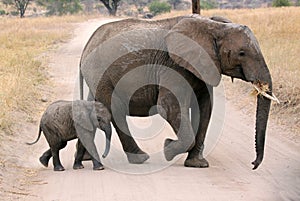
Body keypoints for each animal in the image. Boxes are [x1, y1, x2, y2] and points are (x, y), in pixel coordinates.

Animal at [79, 14, 276, 170]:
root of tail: (87, 44)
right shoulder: (172, 65)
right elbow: (169, 106)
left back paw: (87, 158)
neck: (214, 26)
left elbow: (205, 108)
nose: (253, 164)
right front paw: (167, 148)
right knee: (115, 111)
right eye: (242, 53)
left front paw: (197, 164)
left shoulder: (203, 67)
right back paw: (141, 158)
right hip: (101, 73)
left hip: (97, 76)